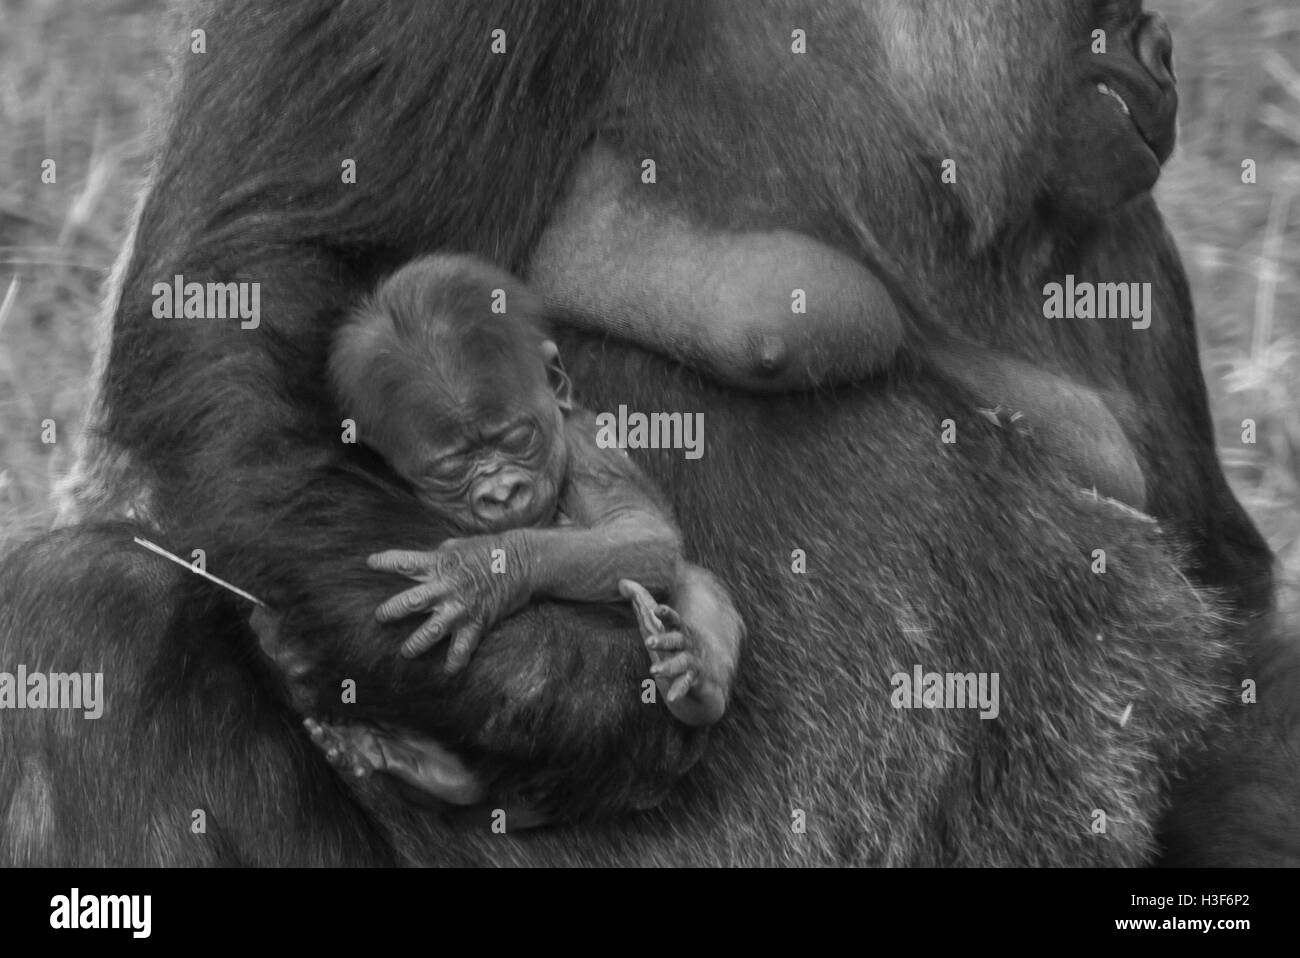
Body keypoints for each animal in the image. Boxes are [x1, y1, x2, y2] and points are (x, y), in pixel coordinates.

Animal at [332, 254, 743, 722]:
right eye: (450, 470)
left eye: (517, 439)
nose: (502, 493)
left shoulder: (585, 455)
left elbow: (642, 535)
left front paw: (482, 572)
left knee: (693, 581)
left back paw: (695, 682)